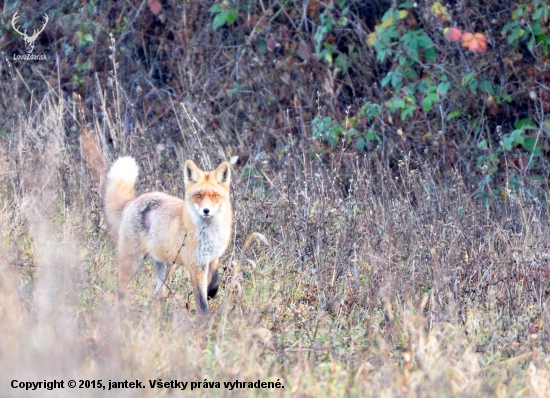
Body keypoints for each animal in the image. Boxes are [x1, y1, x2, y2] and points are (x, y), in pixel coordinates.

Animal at [105, 155, 233, 314]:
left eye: (215, 196)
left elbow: (216, 280)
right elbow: (201, 302)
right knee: (120, 289)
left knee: (157, 295)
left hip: (166, 270)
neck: (208, 234)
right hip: (133, 263)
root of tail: (135, 200)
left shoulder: (212, 257)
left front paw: (211, 292)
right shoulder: (195, 265)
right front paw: (204, 319)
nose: (206, 211)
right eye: (198, 196)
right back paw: (120, 314)